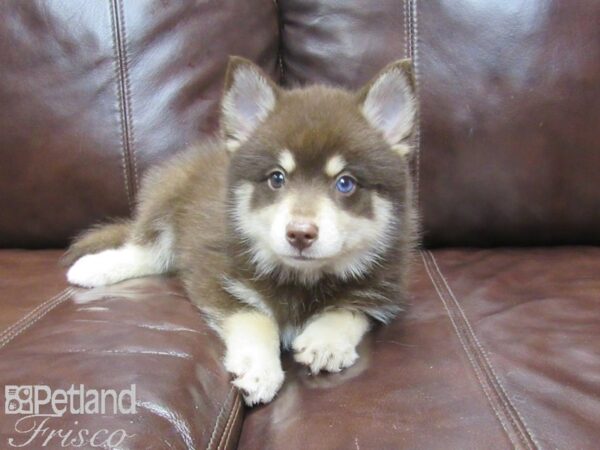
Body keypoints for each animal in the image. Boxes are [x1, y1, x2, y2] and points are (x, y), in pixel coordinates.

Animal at [62, 55, 418, 404]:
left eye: (345, 183)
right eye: (277, 178)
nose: (300, 234)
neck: (301, 280)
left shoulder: (383, 291)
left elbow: (350, 309)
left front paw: (325, 342)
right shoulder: (217, 277)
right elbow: (256, 317)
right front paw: (260, 370)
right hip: (166, 199)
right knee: (146, 250)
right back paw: (94, 268)